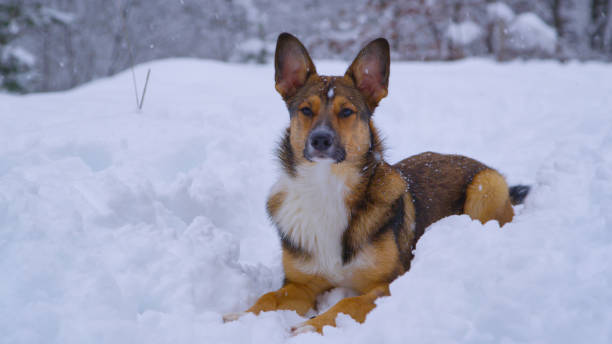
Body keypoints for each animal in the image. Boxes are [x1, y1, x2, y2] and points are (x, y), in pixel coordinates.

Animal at [222, 33, 528, 334]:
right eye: (306, 110)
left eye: (346, 112)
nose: (320, 140)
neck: (326, 185)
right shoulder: (300, 284)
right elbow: (268, 298)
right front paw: (240, 317)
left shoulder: (390, 283)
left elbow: (348, 304)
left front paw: (309, 326)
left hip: (486, 187)